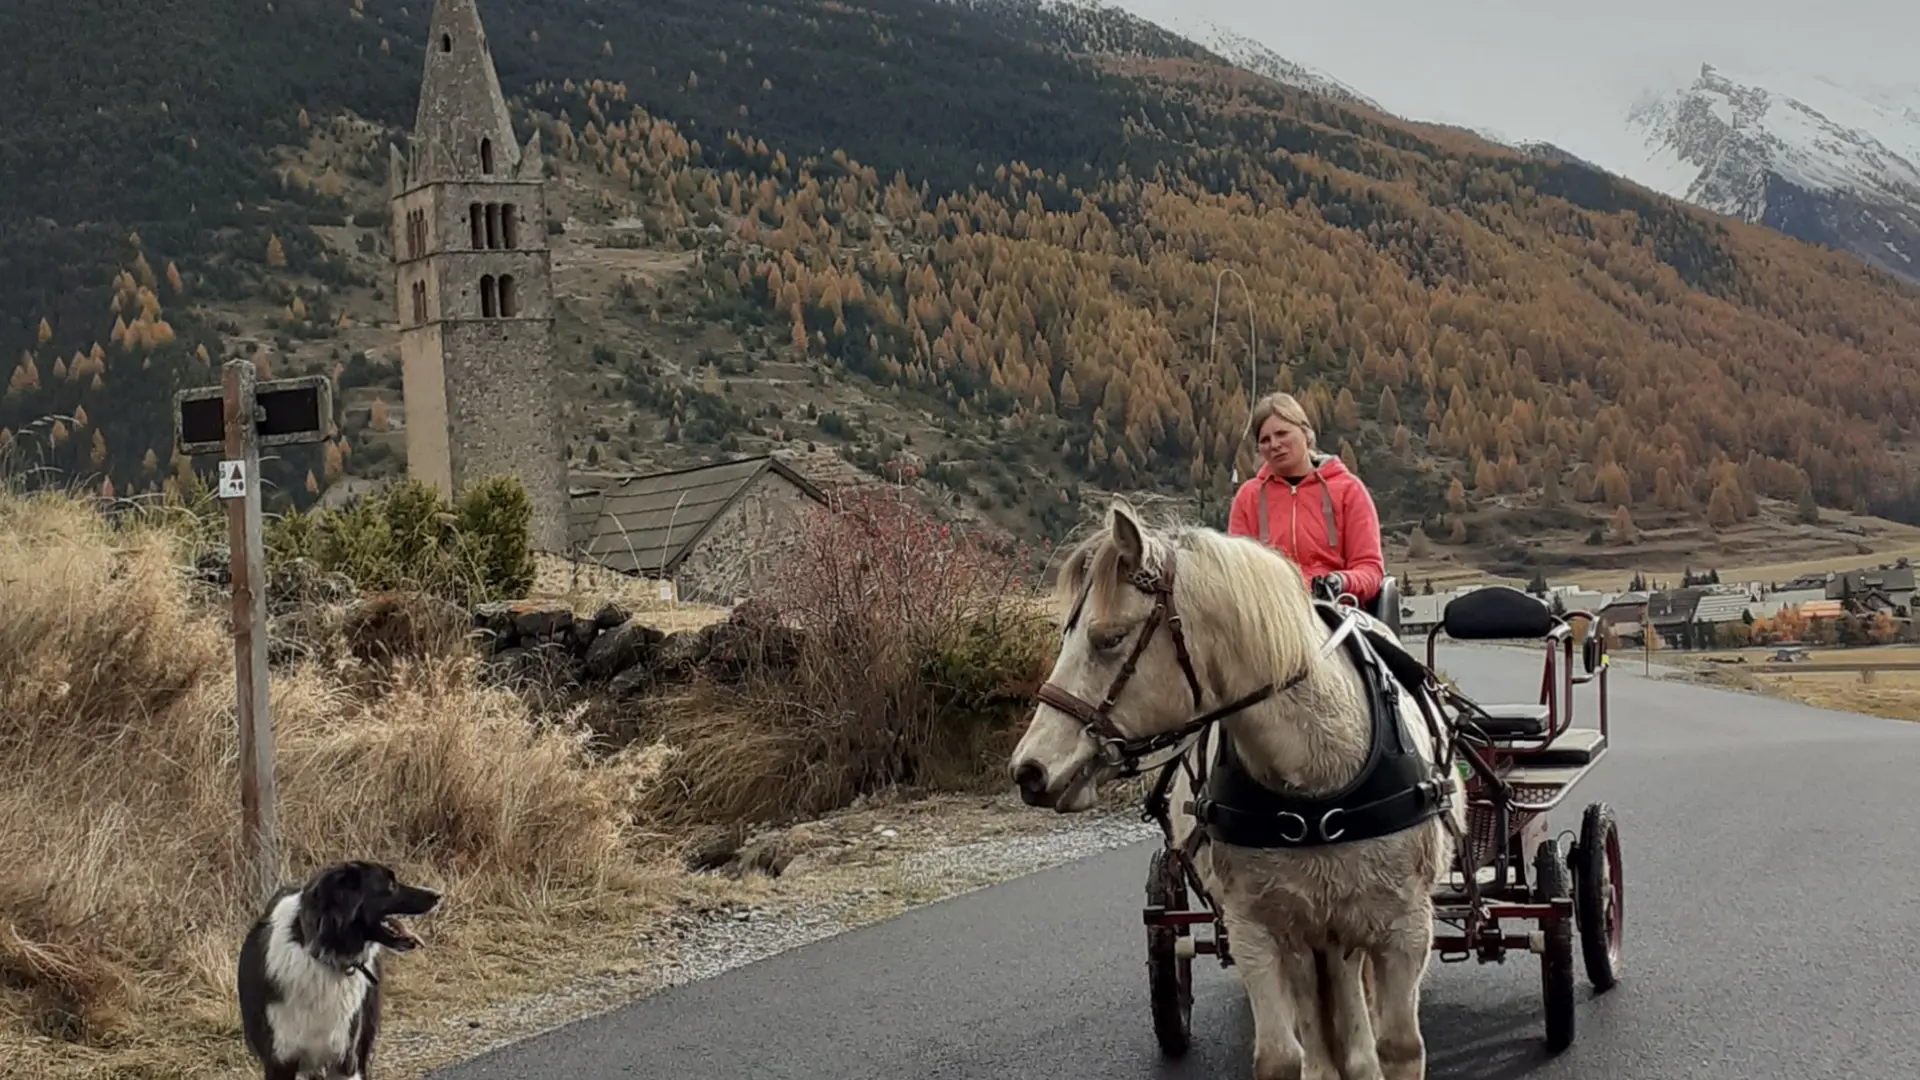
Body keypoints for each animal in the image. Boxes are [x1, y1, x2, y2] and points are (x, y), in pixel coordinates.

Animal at [1013, 495, 1459, 1076]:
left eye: (1109, 638)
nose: (1030, 769)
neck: (1317, 776)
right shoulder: (1257, 930)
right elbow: (1281, 1057)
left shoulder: (1406, 929)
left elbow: (1400, 1047)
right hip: (1310, 933)